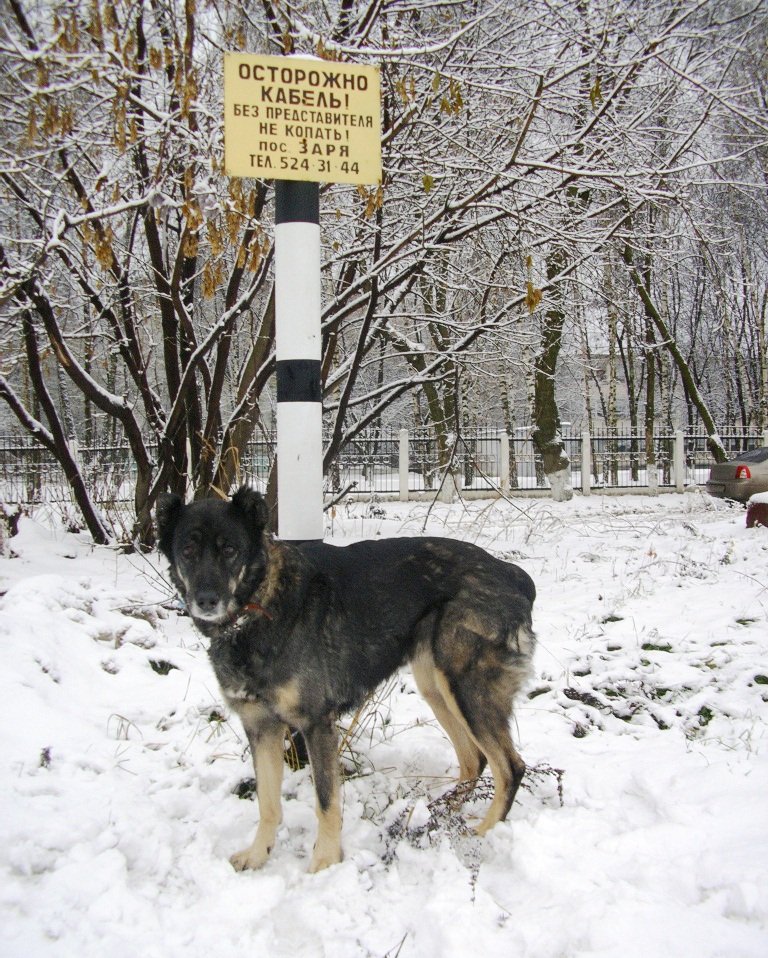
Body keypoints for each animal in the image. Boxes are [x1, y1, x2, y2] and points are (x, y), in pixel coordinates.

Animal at [158, 492, 536, 872]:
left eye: (230, 549)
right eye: (188, 550)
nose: (207, 600)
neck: (259, 603)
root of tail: (513, 574)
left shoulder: (316, 725)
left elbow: (326, 802)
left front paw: (324, 862)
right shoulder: (261, 728)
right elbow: (267, 803)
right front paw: (258, 854)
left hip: (464, 688)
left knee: (510, 767)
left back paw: (480, 832)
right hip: (435, 686)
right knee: (474, 760)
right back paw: (439, 816)